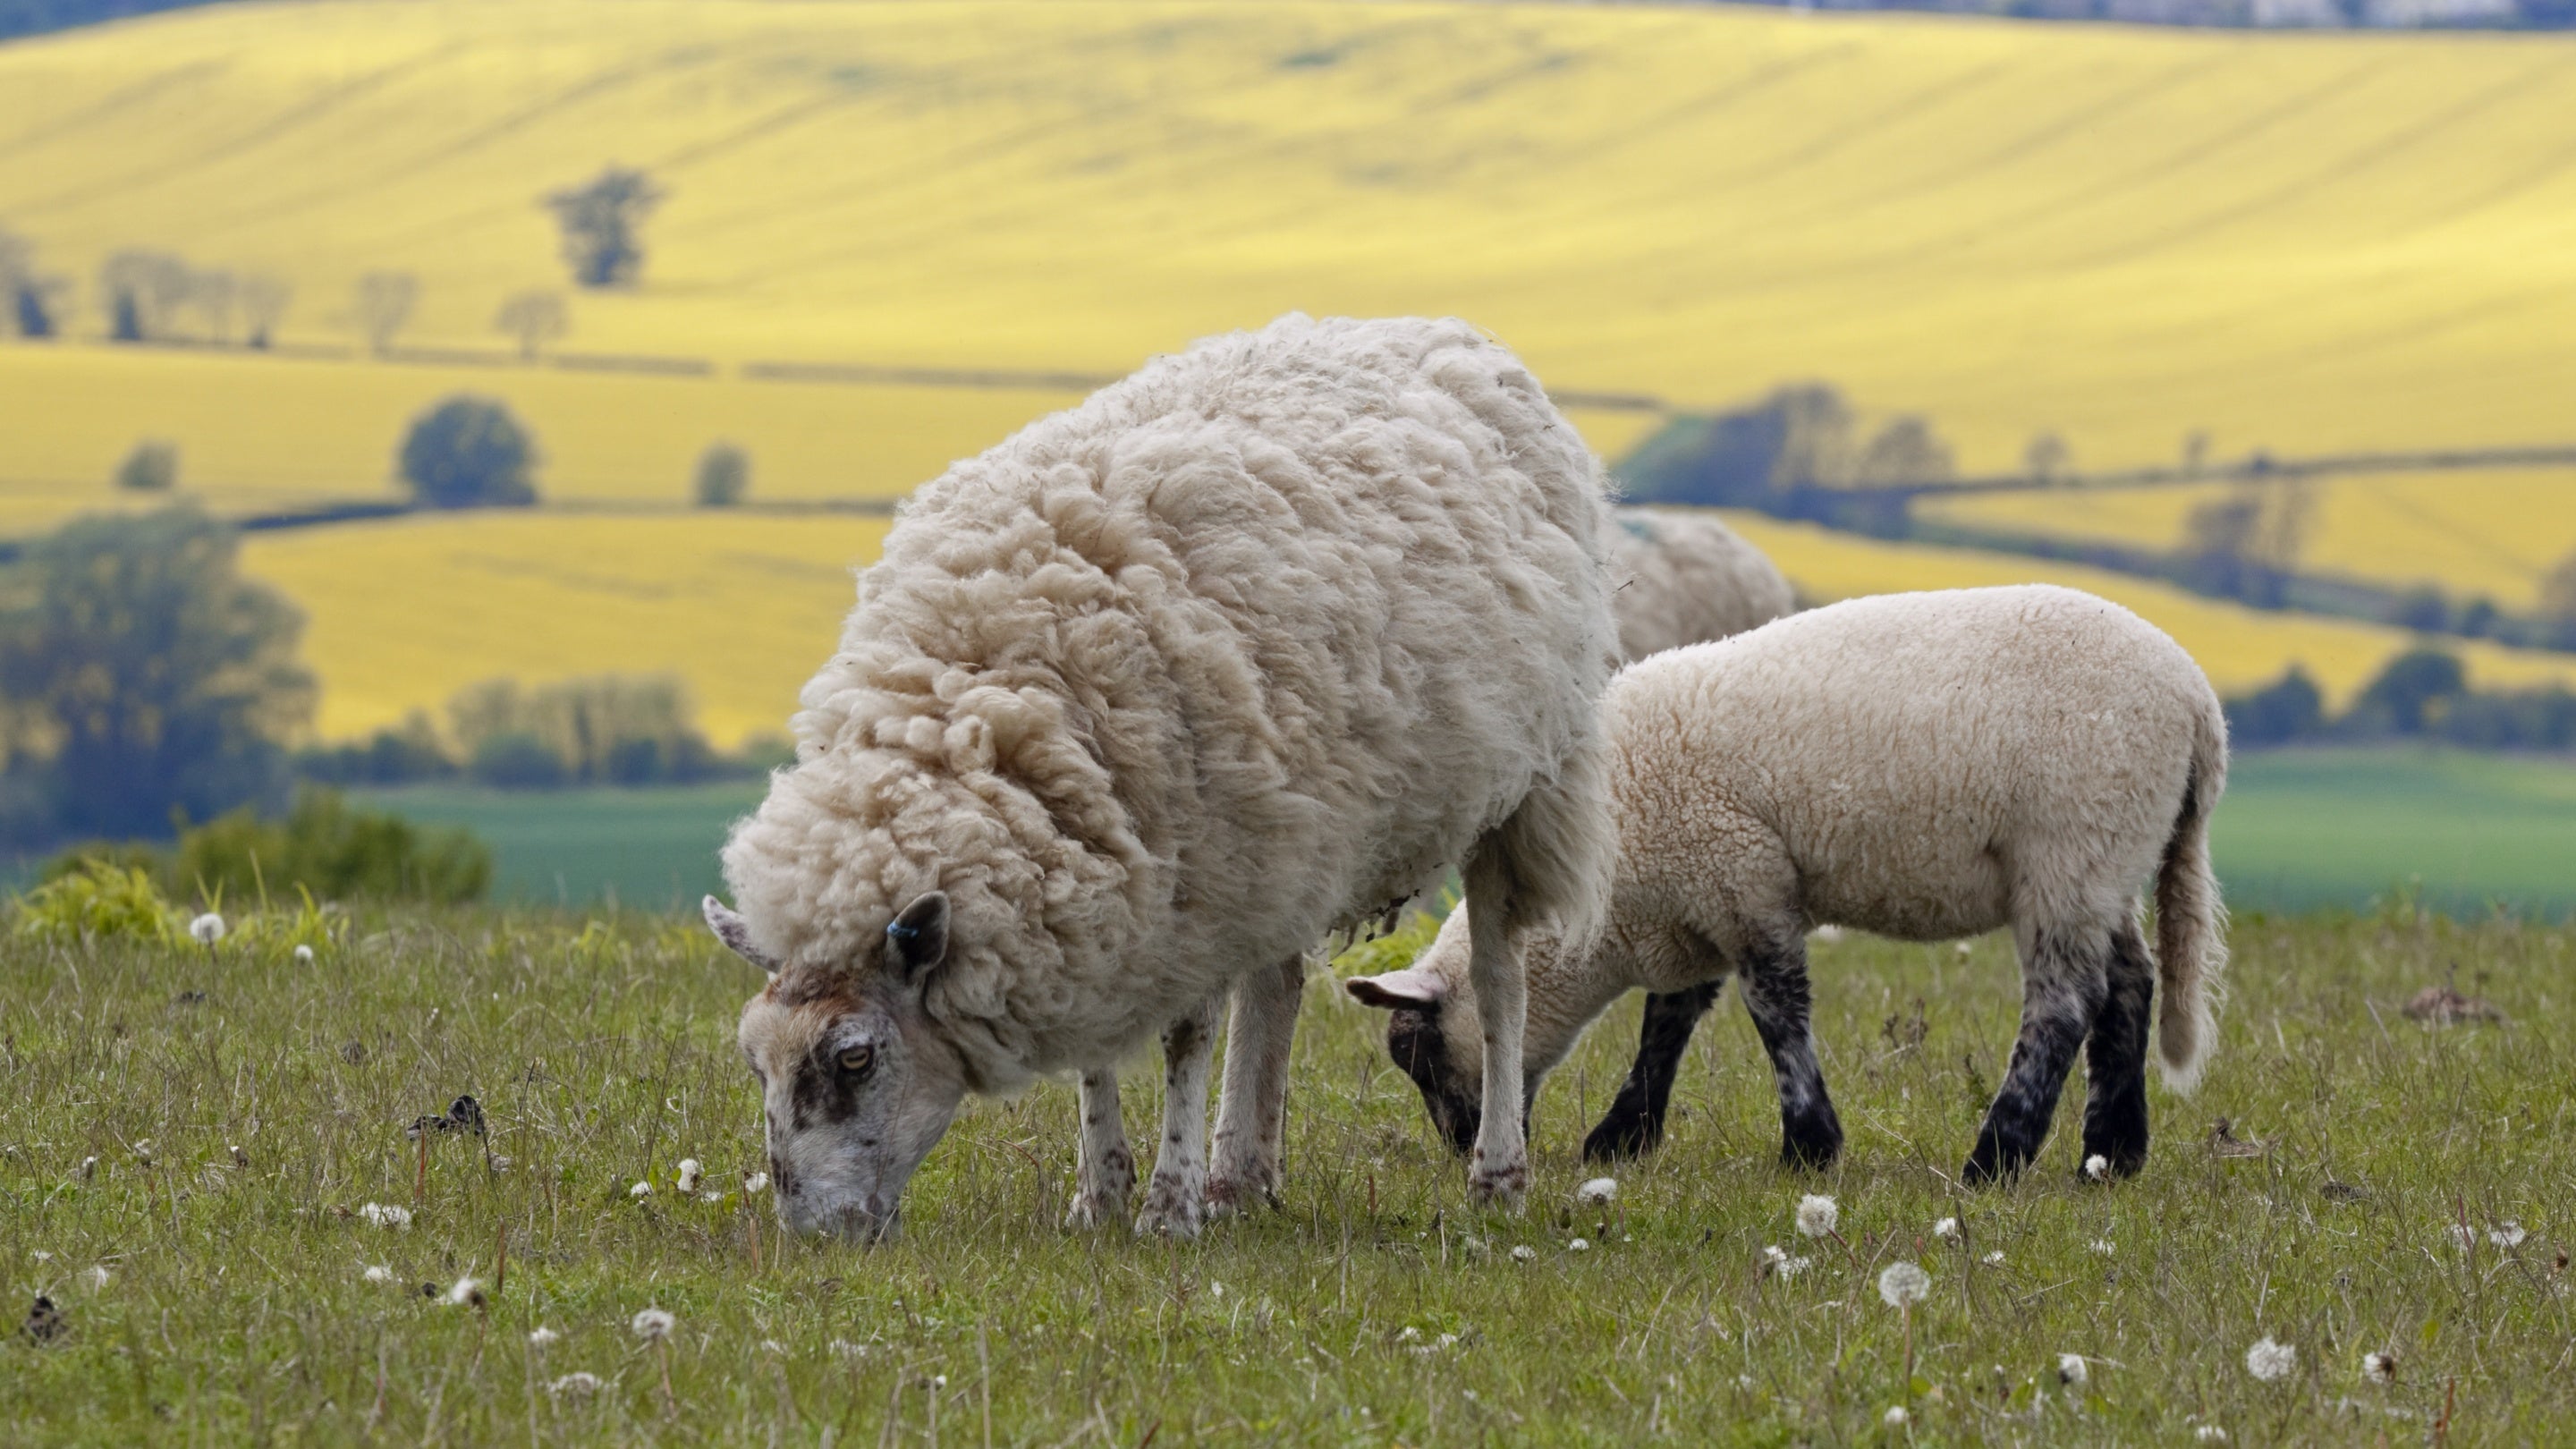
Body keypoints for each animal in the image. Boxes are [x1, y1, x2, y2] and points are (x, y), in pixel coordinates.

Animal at [705, 313, 1620, 1241]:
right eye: (754, 1062)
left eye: (854, 1057)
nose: (813, 1238)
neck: (984, 705)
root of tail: (1442, 329)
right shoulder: (1121, 883)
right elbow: (1102, 1049)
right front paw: (1099, 1197)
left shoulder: (1198, 876)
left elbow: (1186, 1036)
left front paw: (1167, 1210)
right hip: (1291, 829)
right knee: (1276, 987)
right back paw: (1242, 1175)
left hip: (1522, 784)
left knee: (1499, 983)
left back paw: (1494, 1172)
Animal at [1348, 584, 2228, 1183]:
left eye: (1417, 1053)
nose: (1459, 1148)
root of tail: (2197, 701)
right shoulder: (1699, 894)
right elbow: (1669, 1022)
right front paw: (1624, 1137)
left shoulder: (1743, 877)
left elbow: (1775, 1014)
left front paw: (1809, 1146)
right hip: (2111, 856)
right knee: (2130, 985)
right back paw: (2111, 1153)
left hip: (2070, 844)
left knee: (2064, 1003)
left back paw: (1998, 1156)